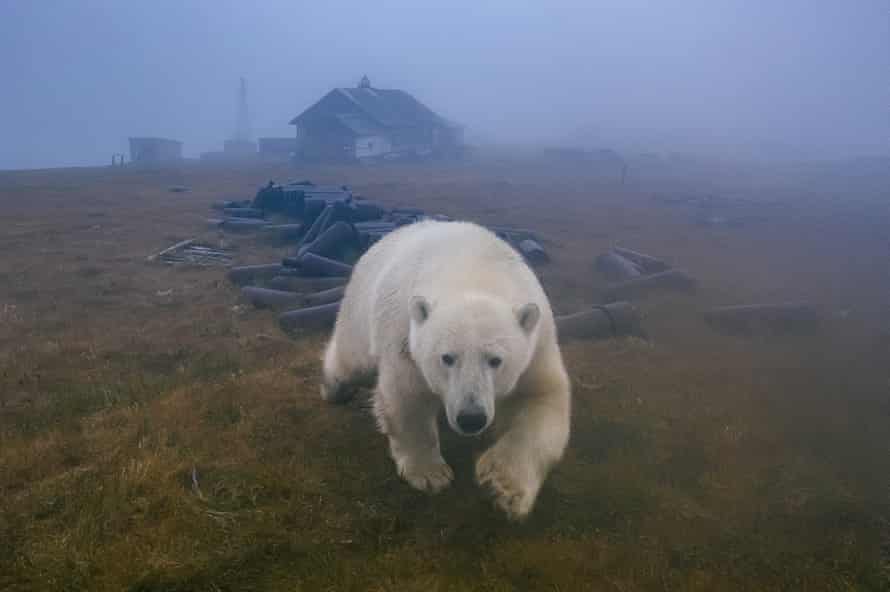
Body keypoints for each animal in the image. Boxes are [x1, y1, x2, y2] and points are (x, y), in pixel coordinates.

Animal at [320, 219, 571, 521]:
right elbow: (408, 398)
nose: (471, 418)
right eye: (447, 358)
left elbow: (543, 400)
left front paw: (502, 486)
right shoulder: (404, 333)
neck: (474, 272)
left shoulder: (537, 345)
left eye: (495, 360)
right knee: (352, 359)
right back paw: (334, 388)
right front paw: (430, 475)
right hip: (361, 303)